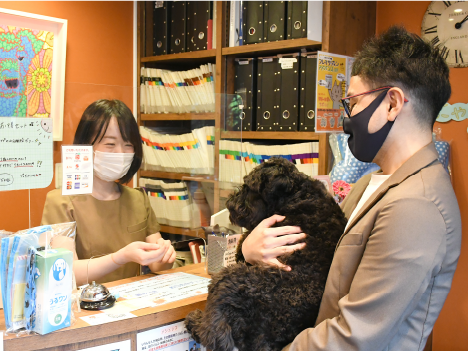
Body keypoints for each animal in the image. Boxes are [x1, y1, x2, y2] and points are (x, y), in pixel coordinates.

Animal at [186, 157, 348, 351]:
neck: (297, 196)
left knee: (214, 328)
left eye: (249, 187)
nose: (230, 204)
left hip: (230, 277)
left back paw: (195, 321)